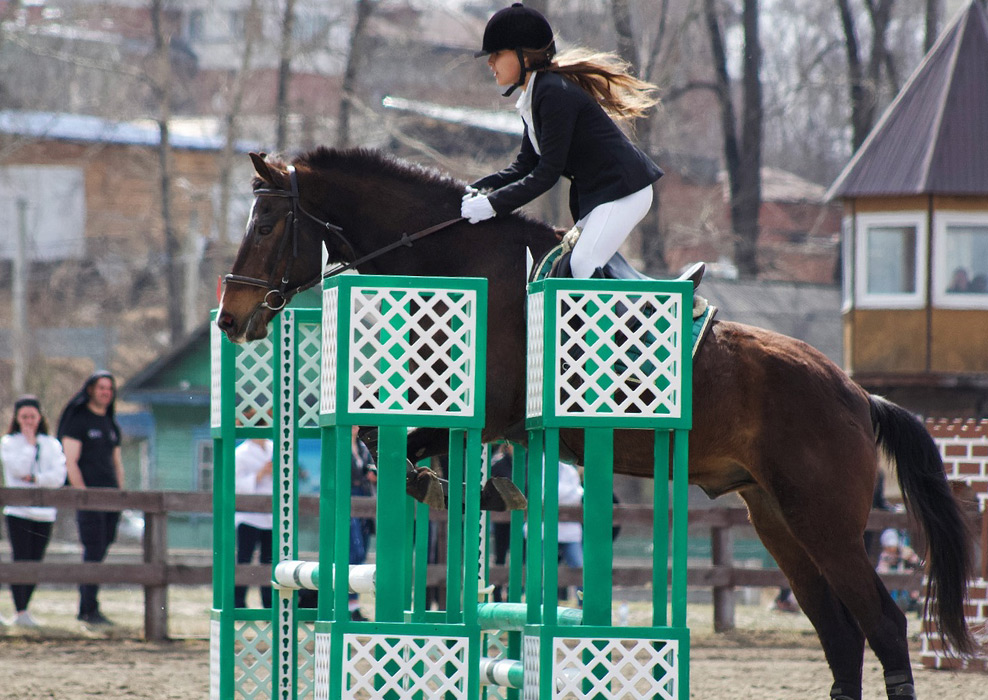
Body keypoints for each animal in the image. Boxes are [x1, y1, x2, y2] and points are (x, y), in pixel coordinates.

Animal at [212, 145, 976, 696]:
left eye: (268, 225)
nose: (230, 319)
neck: (462, 262)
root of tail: (857, 395)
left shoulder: (488, 413)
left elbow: (387, 444)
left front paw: (461, 489)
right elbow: (384, 443)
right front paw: (469, 491)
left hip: (825, 522)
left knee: (883, 624)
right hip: (776, 519)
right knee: (840, 633)